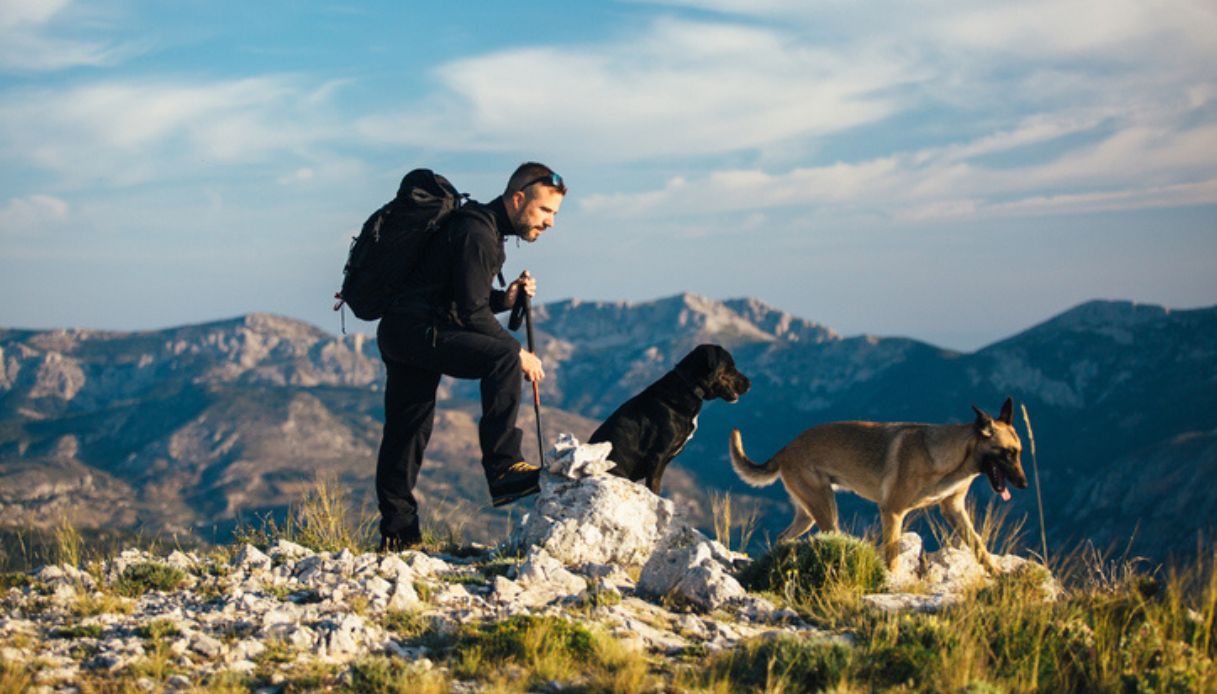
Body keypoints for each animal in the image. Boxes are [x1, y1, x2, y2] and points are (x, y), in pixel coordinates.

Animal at [730, 396, 1027, 569]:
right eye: (1007, 453)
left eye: (1019, 452)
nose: (1024, 484)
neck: (947, 457)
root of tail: (785, 449)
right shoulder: (892, 512)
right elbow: (893, 559)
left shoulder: (954, 510)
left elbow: (980, 547)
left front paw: (997, 577)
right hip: (825, 509)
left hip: (809, 514)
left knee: (782, 537)